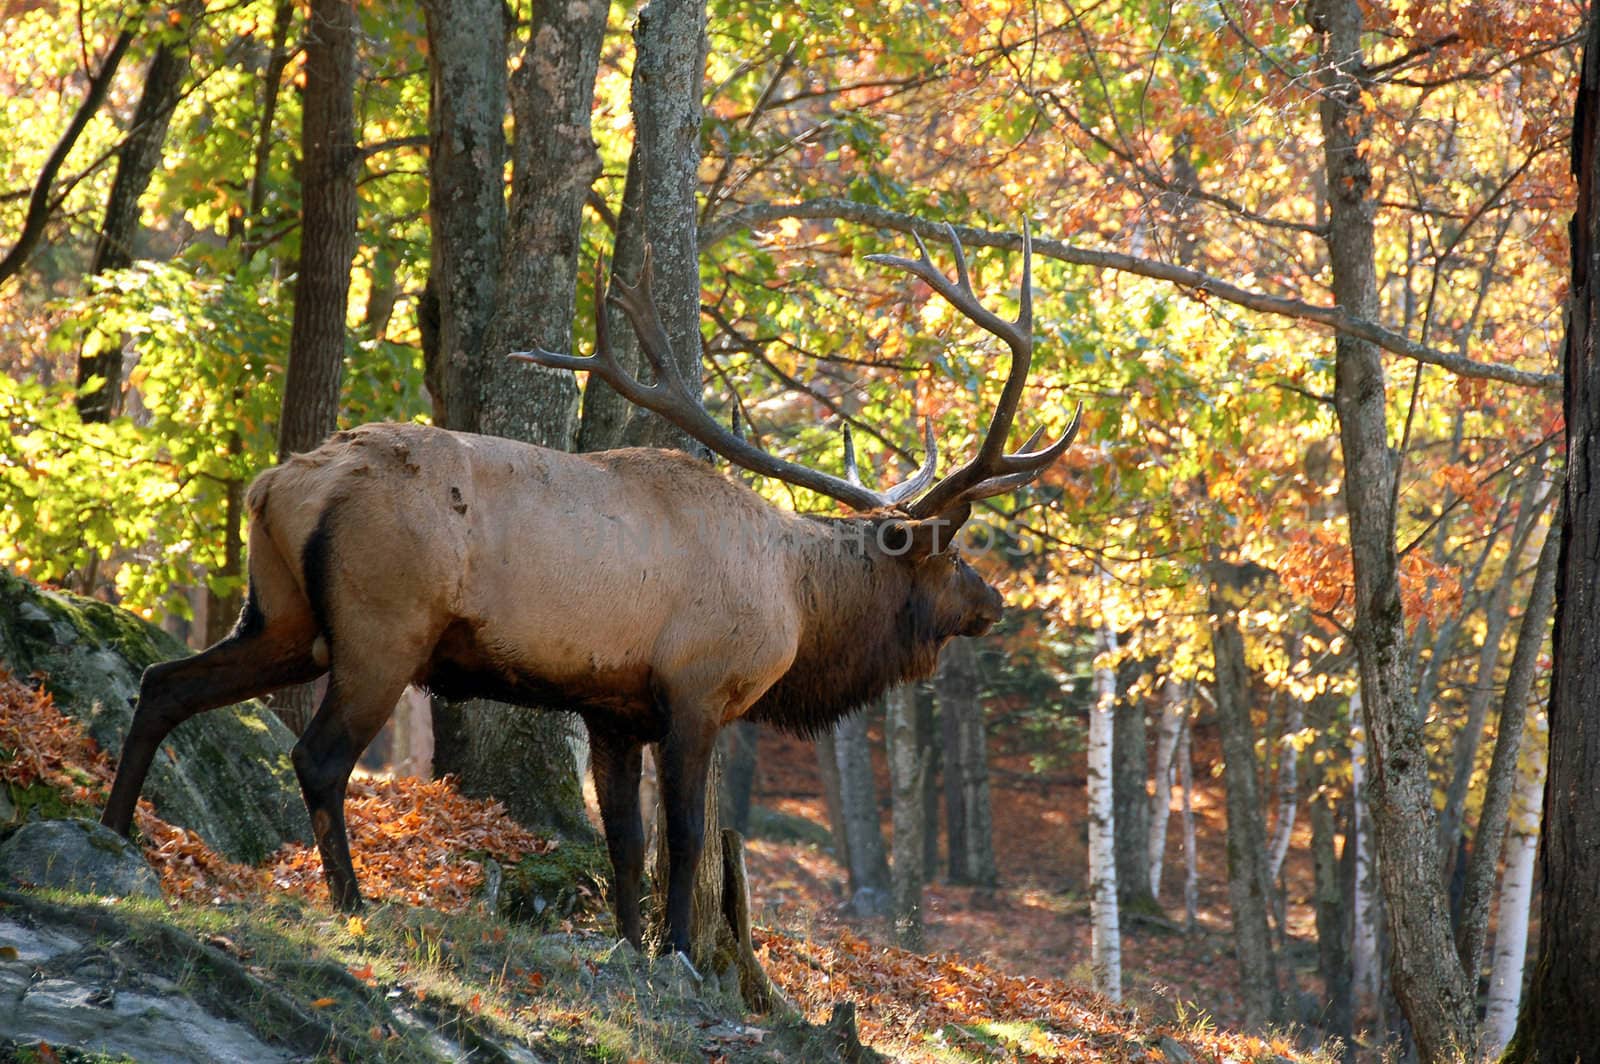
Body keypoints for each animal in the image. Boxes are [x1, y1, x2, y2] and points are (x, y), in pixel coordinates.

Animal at [96, 224, 1075, 953]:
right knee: (318, 755)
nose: (994, 603)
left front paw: (629, 945)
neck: (797, 607)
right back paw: (351, 902)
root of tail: (276, 485)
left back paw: (114, 830)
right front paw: (678, 950)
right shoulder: (696, 689)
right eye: (953, 556)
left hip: (283, 616)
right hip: (383, 624)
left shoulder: (613, 707)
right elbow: (683, 838)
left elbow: (624, 842)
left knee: (164, 681)